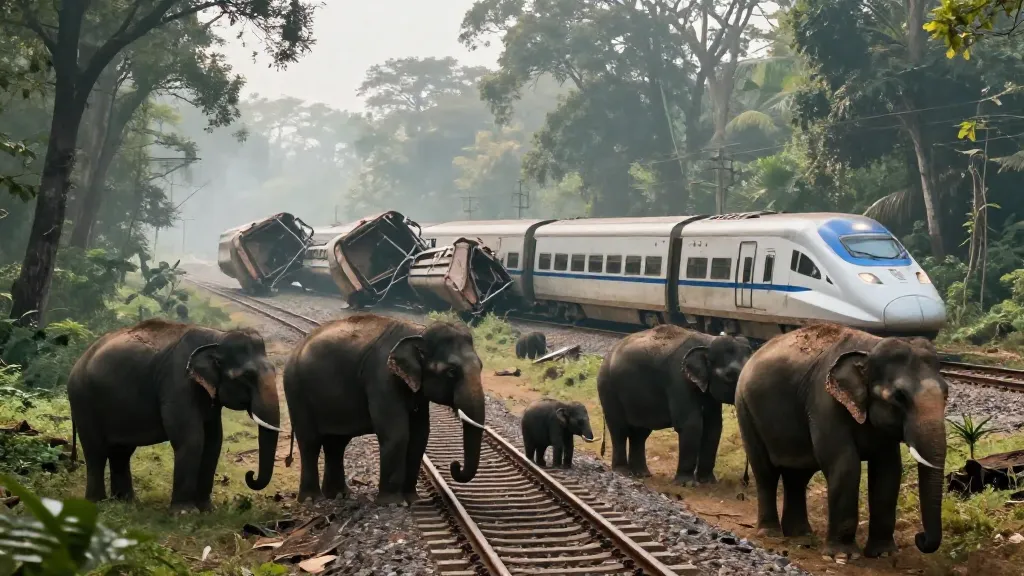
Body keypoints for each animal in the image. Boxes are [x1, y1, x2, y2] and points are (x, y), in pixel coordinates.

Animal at [67, 319, 281, 511]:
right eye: (248, 376)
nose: (250, 475)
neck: (217, 337)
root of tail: (77, 363)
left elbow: (213, 441)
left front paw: (207, 509)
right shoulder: (177, 382)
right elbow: (191, 439)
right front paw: (185, 513)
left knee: (121, 452)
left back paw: (125, 502)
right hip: (82, 401)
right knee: (95, 451)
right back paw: (96, 502)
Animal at [283, 313, 486, 506]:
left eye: (481, 366)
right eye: (451, 372)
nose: (455, 465)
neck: (419, 331)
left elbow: (419, 435)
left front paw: (413, 500)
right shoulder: (382, 377)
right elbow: (397, 434)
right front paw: (393, 503)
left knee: (336, 443)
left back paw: (339, 495)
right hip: (296, 390)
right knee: (310, 442)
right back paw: (312, 499)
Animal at [597, 325, 751, 485]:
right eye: (730, 375)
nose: (745, 480)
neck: (708, 341)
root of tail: (607, 356)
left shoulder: (708, 392)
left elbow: (713, 426)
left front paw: (707, 482)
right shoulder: (678, 379)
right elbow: (691, 425)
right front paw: (687, 484)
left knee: (640, 433)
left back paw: (642, 474)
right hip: (608, 388)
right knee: (619, 430)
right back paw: (623, 472)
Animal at [734, 323, 947, 560]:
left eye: (946, 394)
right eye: (899, 396)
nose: (920, 538)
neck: (869, 348)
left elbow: (888, 471)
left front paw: (884, 554)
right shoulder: (825, 402)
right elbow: (845, 465)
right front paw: (842, 556)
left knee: (797, 476)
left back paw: (800, 535)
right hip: (745, 410)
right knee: (765, 472)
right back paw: (770, 533)